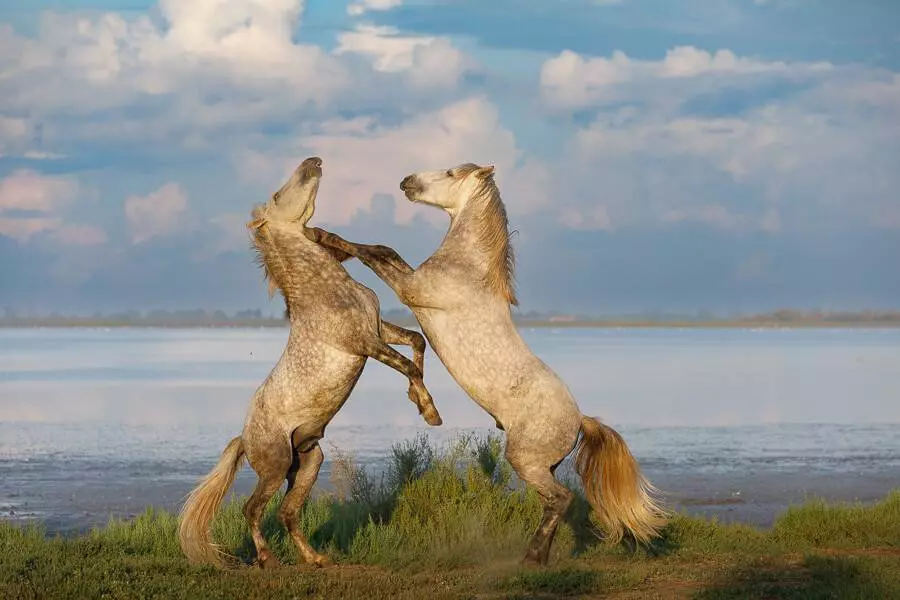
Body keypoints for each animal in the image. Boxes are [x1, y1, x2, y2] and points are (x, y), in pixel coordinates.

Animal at [177, 157, 442, 570]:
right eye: (276, 194)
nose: (314, 161)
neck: (322, 288)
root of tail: (245, 438)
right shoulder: (364, 342)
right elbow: (408, 364)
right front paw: (430, 411)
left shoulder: (377, 327)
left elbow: (418, 342)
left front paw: (418, 401)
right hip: (274, 467)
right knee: (254, 509)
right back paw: (268, 559)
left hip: (307, 462)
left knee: (287, 513)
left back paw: (316, 559)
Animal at [307, 162, 667, 565]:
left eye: (450, 173)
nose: (406, 182)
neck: (468, 269)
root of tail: (580, 420)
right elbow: (386, 250)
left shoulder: (411, 290)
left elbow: (372, 253)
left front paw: (322, 236)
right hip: (541, 466)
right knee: (552, 503)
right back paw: (538, 558)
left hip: (525, 460)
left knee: (562, 499)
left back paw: (531, 558)